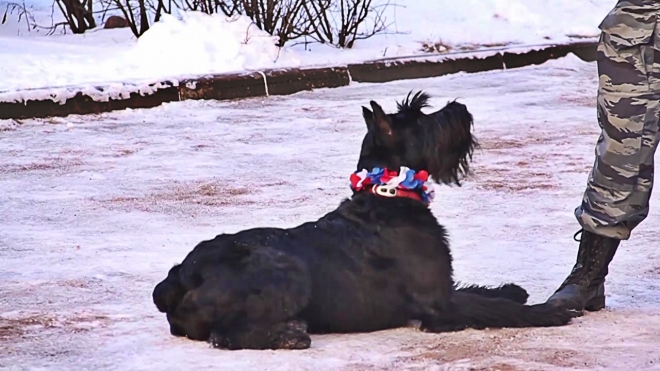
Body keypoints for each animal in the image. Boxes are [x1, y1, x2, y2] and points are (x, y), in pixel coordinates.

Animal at [153, 91, 572, 352]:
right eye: (420, 123)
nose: (461, 108)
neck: (387, 194)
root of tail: (179, 276)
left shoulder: (444, 287)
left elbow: (480, 292)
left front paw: (510, 289)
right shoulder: (439, 305)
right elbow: (491, 308)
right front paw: (546, 312)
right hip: (285, 269)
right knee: (224, 334)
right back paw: (290, 335)